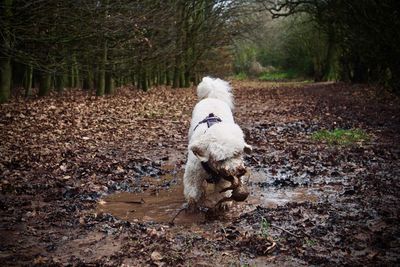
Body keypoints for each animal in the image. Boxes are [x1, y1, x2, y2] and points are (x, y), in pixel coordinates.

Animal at [184, 77, 252, 211]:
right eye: (222, 159)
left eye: (238, 154)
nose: (240, 170)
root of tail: (213, 97)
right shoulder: (193, 174)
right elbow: (193, 193)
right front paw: (193, 205)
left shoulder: (225, 179)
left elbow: (224, 190)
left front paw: (224, 204)